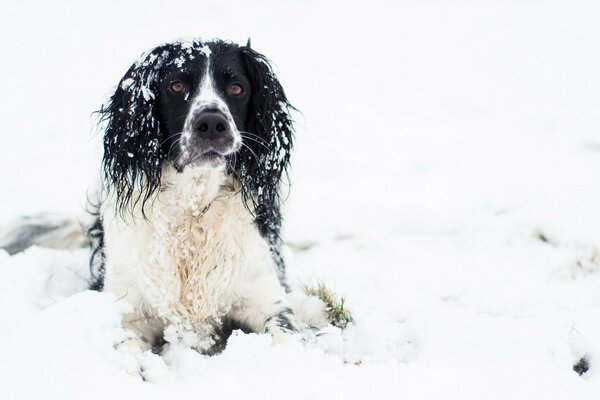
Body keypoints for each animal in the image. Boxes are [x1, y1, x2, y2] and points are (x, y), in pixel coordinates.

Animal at [1, 39, 328, 358]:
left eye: (237, 88)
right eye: (176, 85)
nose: (212, 124)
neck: (194, 209)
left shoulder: (267, 303)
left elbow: (287, 336)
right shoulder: (128, 312)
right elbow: (126, 353)